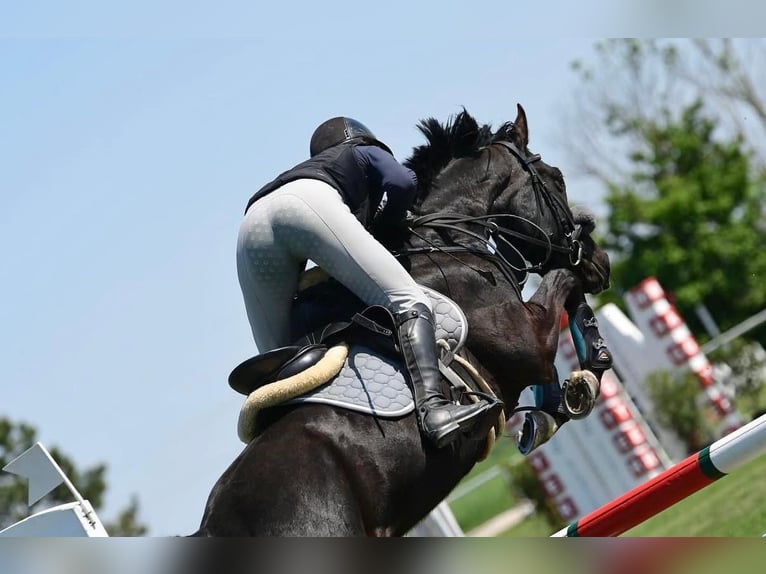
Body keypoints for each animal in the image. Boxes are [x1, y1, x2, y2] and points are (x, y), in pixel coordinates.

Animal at [192, 104, 611, 536]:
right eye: (557, 179)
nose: (600, 261)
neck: (445, 245)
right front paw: (589, 371)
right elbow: (563, 281)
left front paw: (559, 402)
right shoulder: (528, 342)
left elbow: (565, 286)